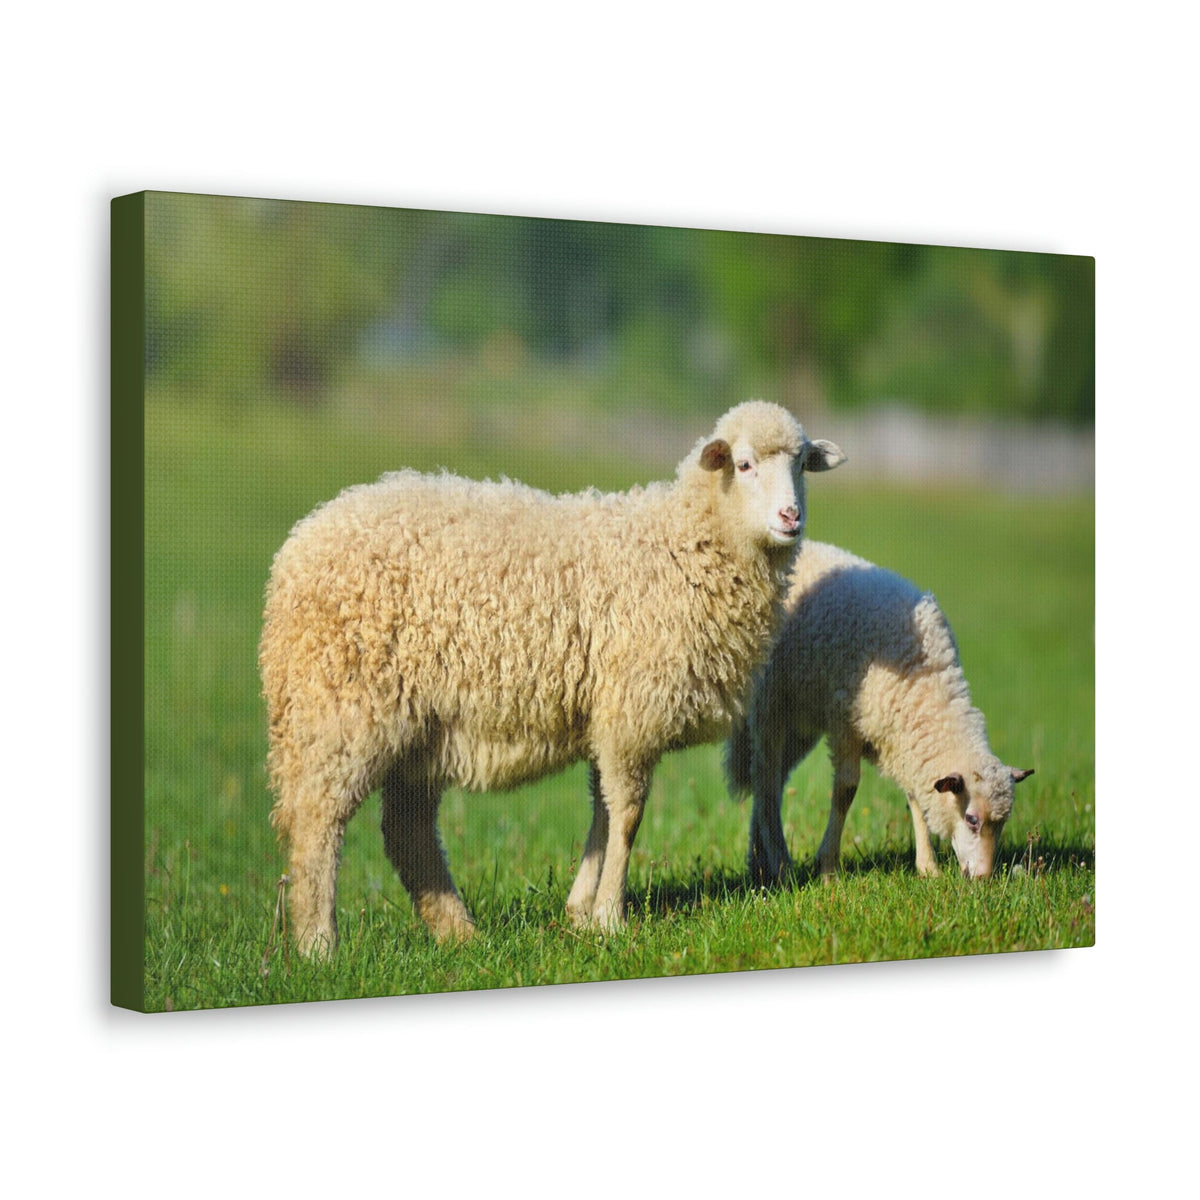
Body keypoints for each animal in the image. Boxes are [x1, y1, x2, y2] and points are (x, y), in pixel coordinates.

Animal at [260, 400, 846, 956]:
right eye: (744, 465)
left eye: (802, 464)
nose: (790, 516)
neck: (683, 545)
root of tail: (296, 548)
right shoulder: (631, 711)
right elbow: (627, 815)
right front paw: (610, 917)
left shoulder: (608, 715)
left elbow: (603, 813)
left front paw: (580, 910)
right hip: (340, 707)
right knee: (317, 822)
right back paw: (319, 946)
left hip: (420, 729)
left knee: (408, 832)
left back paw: (458, 934)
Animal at [725, 539, 1033, 884]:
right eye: (971, 819)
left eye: (1002, 823)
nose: (982, 877)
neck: (924, 681)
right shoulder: (845, 723)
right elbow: (845, 791)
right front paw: (828, 867)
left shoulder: (901, 738)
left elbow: (915, 796)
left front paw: (928, 867)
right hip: (771, 703)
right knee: (765, 777)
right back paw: (777, 862)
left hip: (800, 723)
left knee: (771, 781)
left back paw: (759, 861)